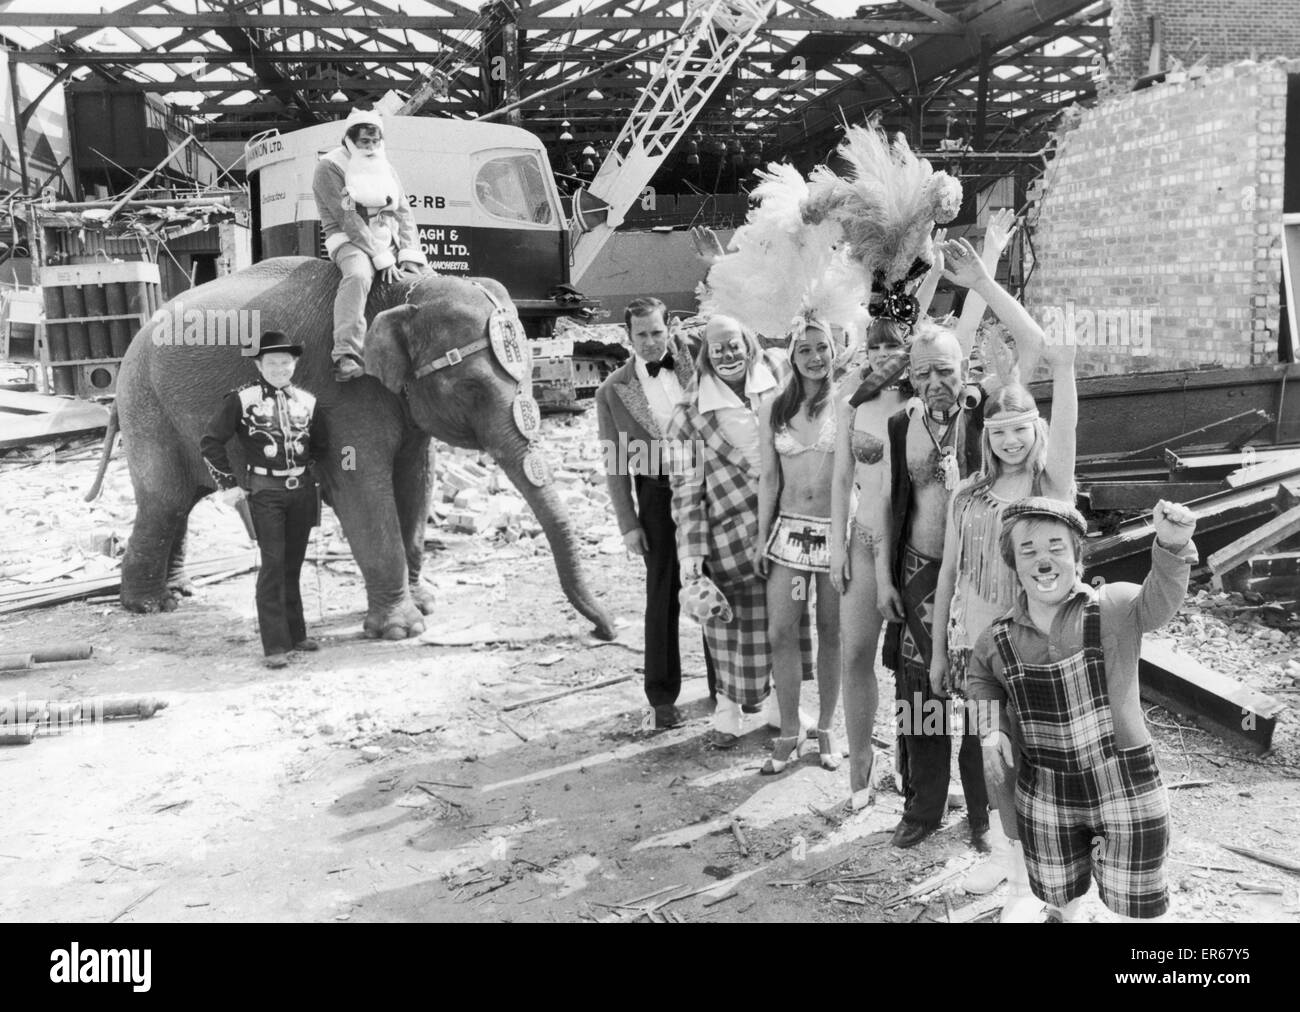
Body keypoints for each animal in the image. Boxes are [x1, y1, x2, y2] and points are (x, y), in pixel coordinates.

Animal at [89, 258, 616, 639]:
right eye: (471, 389)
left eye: (530, 378)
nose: (606, 631)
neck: (405, 291)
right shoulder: (343, 392)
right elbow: (362, 488)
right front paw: (402, 630)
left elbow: (416, 480)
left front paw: (424, 603)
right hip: (147, 408)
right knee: (163, 501)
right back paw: (150, 605)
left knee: (179, 503)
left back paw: (179, 591)